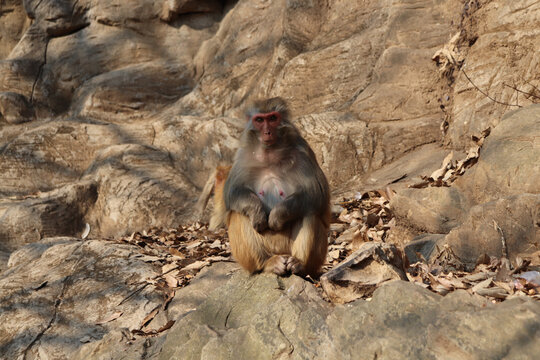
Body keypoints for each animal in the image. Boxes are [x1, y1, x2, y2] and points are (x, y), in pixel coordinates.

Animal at [223, 97, 332, 278]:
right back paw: (266, 264)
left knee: (309, 212)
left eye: (273, 118)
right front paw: (257, 213)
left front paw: (277, 216)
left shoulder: (303, 152)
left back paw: (299, 265)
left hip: (310, 256)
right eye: (260, 120)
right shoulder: (243, 155)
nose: (267, 132)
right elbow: (232, 193)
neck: (270, 154)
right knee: (238, 213)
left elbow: (317, 193)